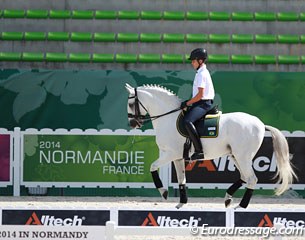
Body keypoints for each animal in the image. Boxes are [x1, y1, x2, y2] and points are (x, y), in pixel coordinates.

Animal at [124, 83, 296, 209]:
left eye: (131, 103)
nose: (132, 123)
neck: (169, 118)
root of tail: (260, 123)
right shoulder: (178, 158)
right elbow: (181, 179)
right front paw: (181, 203)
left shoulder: (170, 154)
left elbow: (153, 167)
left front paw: (164, 191)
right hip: (235, 156)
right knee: (244, 177)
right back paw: (228, 198)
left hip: (243, 156)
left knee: (251, 178)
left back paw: (241, 206)